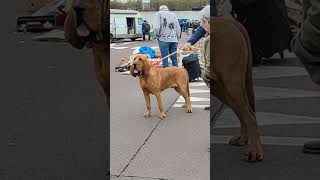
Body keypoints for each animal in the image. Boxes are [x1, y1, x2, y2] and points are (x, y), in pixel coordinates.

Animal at [211, 17, 264, 162]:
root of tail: (232, 22)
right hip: (220, 86)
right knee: (243, 112)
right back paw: (244, 138)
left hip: (232, 84)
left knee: (249, 115)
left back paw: (254, 151)